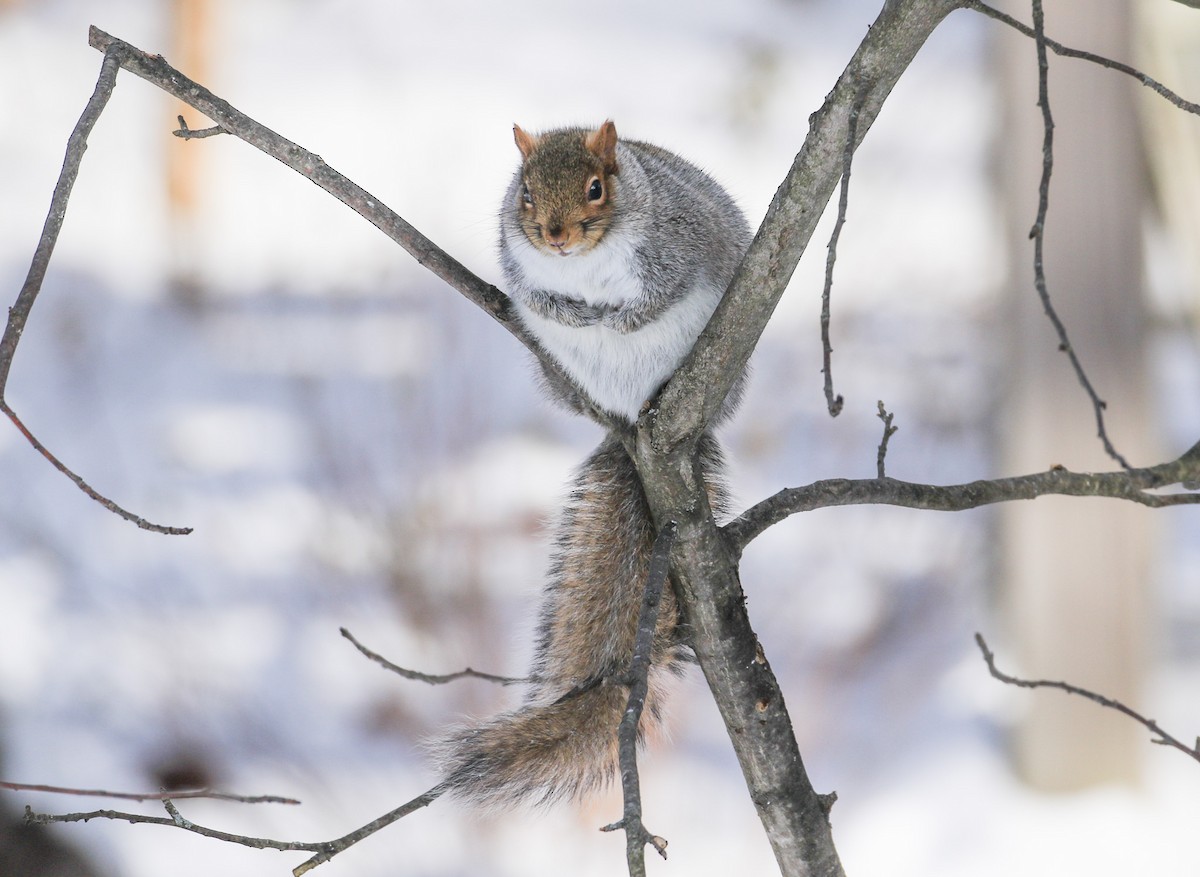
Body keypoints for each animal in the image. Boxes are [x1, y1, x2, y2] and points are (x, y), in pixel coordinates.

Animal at [434, 120, 750, 808]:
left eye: (597, 188)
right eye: (524, 193)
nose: (554, 235)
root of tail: (629, 423)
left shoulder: (676, 245)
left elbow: (657, 296)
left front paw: (621, 317)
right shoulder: (521, 265)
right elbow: (537, 296)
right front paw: (574, 312)